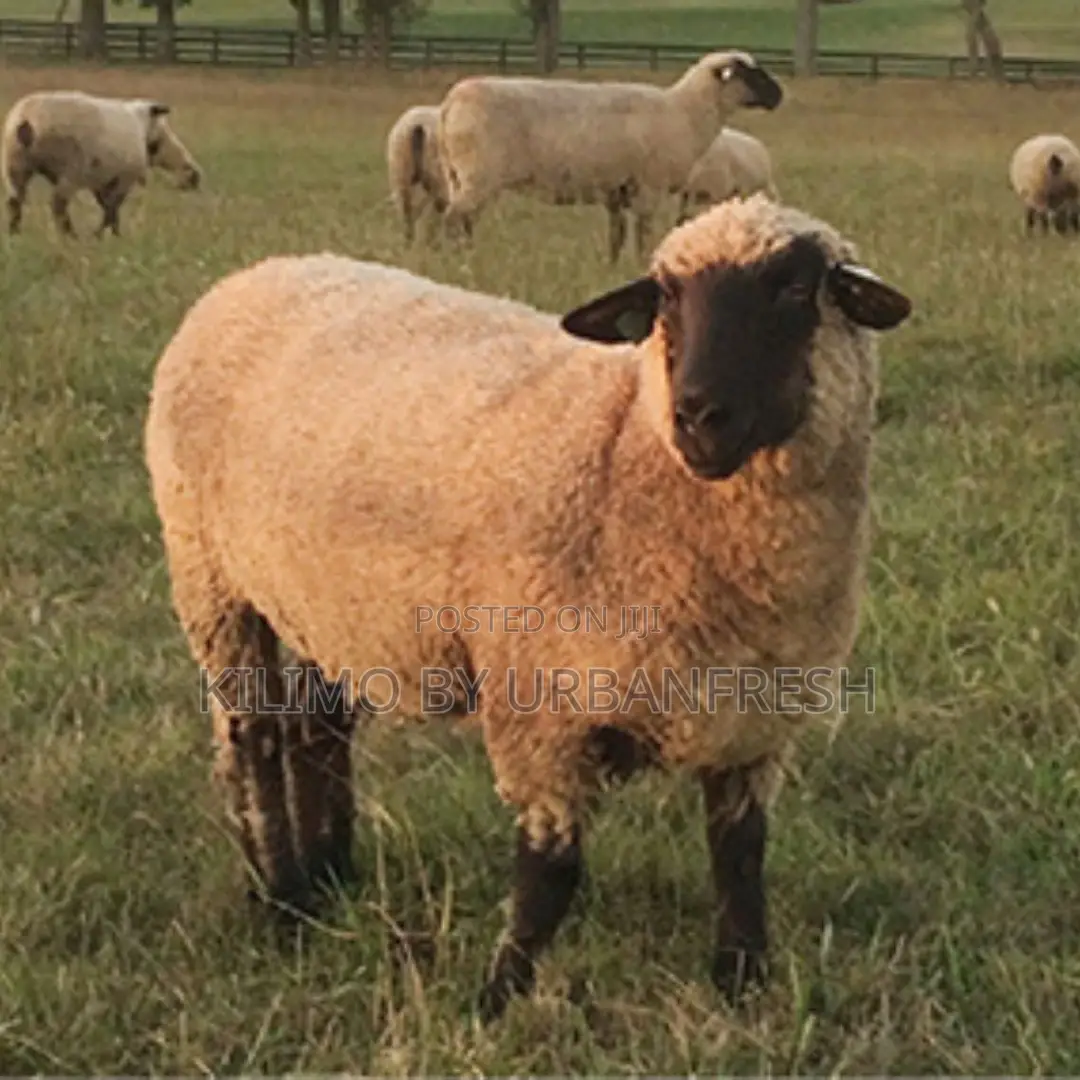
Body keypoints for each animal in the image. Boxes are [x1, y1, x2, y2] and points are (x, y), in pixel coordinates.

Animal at [2, 89, 202, 238]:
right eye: (161, 134)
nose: (194, 175)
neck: (144, 132)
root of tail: (27, 120)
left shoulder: (102, 180)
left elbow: (107, 206)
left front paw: (112, 234)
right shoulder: (124, 178)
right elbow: (112, 207)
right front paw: (104, 235)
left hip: (14, 163)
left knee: (14, 201)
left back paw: (14, 234)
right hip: (71, 169)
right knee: (58, 204)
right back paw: (71, 236)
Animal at [143, 193, 912, 1023]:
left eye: (796, 289)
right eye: (667, 298)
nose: (700, 415)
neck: (624, 448)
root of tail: (252, 276)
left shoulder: (751, 723)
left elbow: (739, 860)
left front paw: (744, 987)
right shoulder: (541, 710)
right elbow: (550, 874)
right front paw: (496, 1001)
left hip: (329, 601)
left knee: (317, 727)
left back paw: (330, 874)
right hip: (212, 577)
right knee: (250, 734)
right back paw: (281, 898)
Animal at [437, 50, 783, 263]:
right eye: (748, 73)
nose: (778, 95)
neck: (685, 112)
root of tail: (451, 101)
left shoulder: (617, 190)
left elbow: (617, 236)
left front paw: (612, 268)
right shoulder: (649, 187)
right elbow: (644, 237)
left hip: (458, 175)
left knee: (463, 220)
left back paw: (468, 256)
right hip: (479, 175)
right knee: (450, 219)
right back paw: (448, 260)